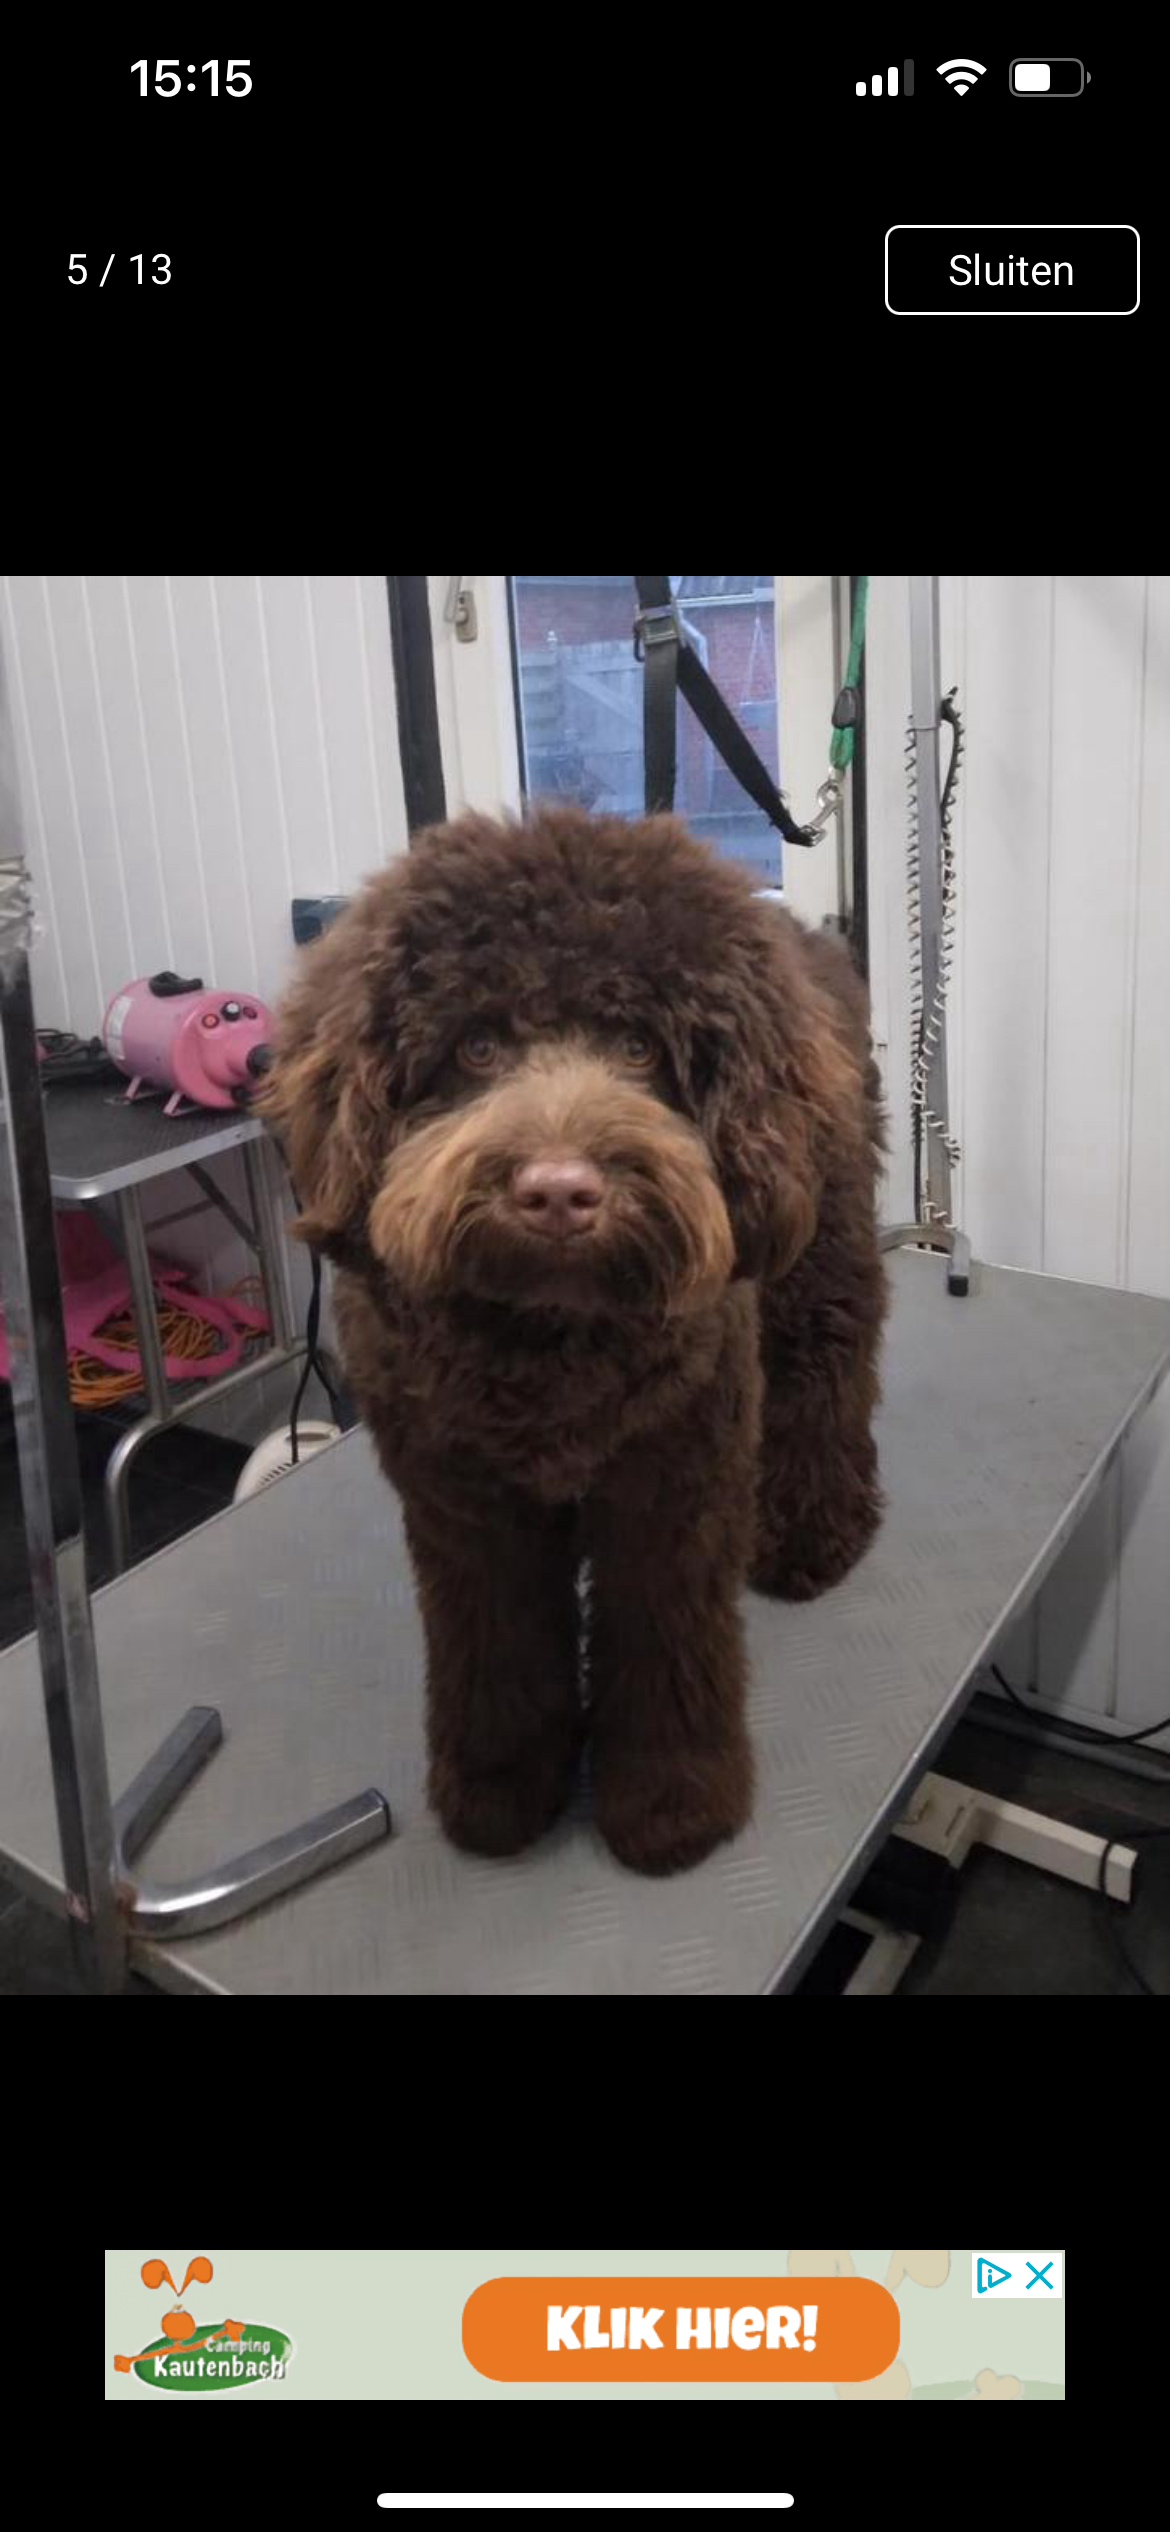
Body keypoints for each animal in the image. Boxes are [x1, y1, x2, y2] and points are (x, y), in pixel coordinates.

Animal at [258, 810, 886, 1883]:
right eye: (474, 1044)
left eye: (638, 1044)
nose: (558, 1190)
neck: (551, 1336)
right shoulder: (466, 1508)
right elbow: (496, 1646)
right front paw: (501, 1787)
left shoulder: (672, 1486)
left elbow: (665, 1644)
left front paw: (671, 1806)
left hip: (819, 1258)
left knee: (825, 1379)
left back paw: (811, 1533)